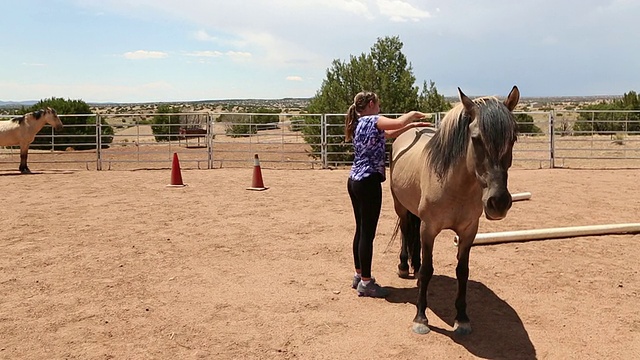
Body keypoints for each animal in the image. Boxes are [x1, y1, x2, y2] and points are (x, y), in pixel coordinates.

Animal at [390, 86, 520, 336]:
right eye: (476, 139)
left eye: (513, 138)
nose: (498, 202)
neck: (454, 187)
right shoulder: (429, 229)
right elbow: (428, 270)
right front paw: (421, 318)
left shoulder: (469, 231)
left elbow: (462, 271)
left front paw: (462, 318)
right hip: (400, 207)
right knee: (405, 231)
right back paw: (403, 266)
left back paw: (414, 266)